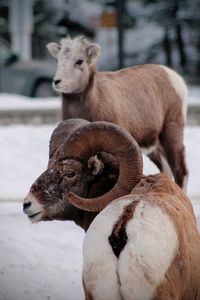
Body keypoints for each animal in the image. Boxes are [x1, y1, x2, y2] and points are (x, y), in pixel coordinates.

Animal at [46, 35, 188, 190]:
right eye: (58, 60)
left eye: (79, 61)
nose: (57, 81)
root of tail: (176, 78)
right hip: (153, 146)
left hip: (171, 133)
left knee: (181, 170)